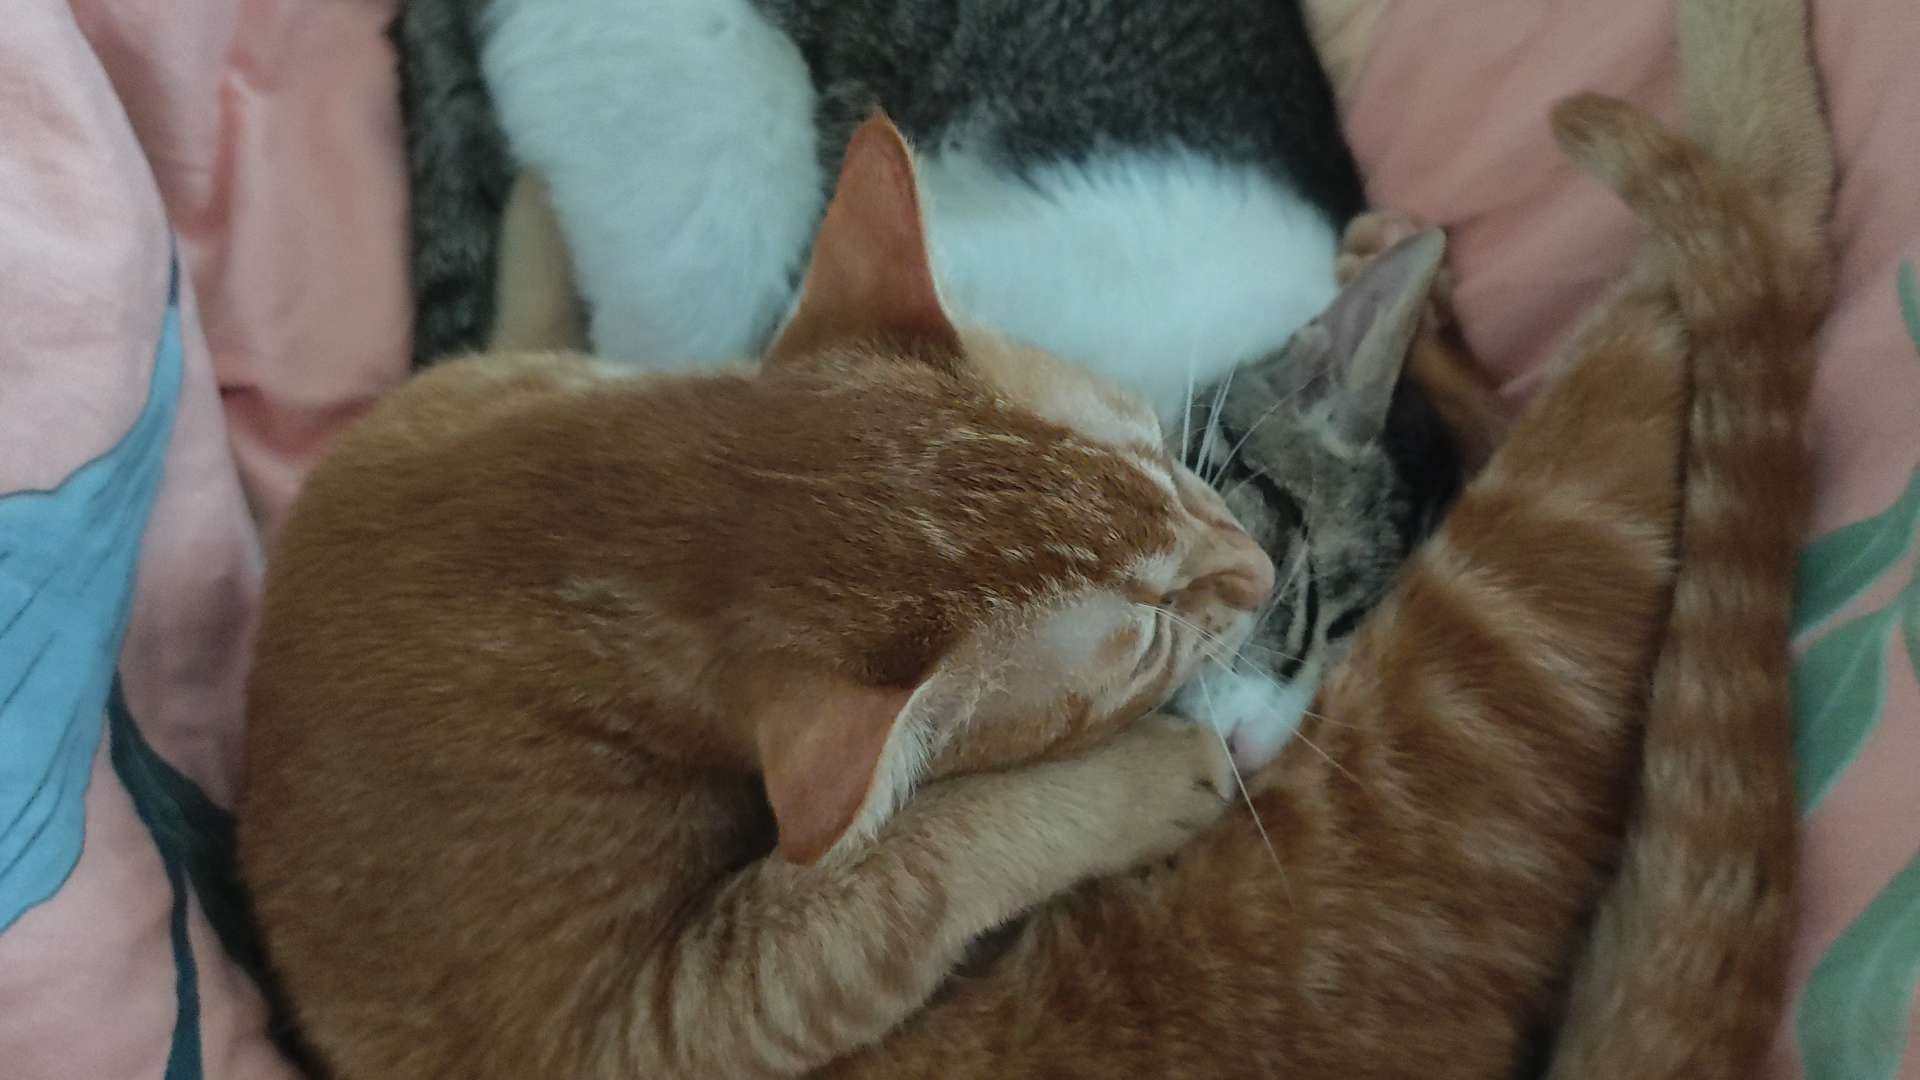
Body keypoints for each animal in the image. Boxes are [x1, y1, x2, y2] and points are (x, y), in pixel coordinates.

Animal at [240, 114, 1281, 1079]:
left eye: (1157, 449)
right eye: (1150, 641)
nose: (1265, 569)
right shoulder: (638, 1028)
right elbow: (926, 860)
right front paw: (1149, 780)